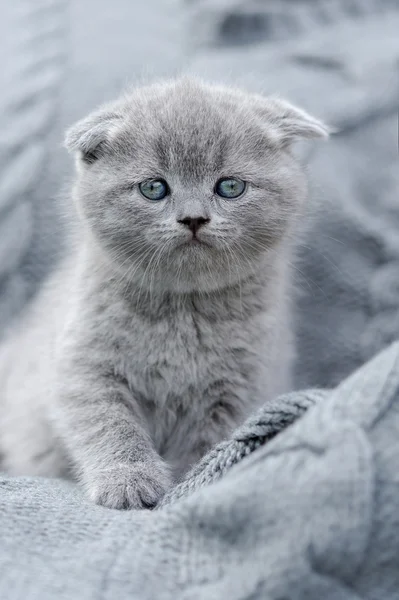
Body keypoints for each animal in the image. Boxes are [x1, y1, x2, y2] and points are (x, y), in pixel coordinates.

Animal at [0, 78, 330, 510]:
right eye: (154, 188)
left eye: (230, 186)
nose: (193, 218)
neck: (183, 310)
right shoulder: (84, 367)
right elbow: (109, 423)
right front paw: (128, 481)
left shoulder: (241, 386)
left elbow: (209, 442)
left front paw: (194, 481)